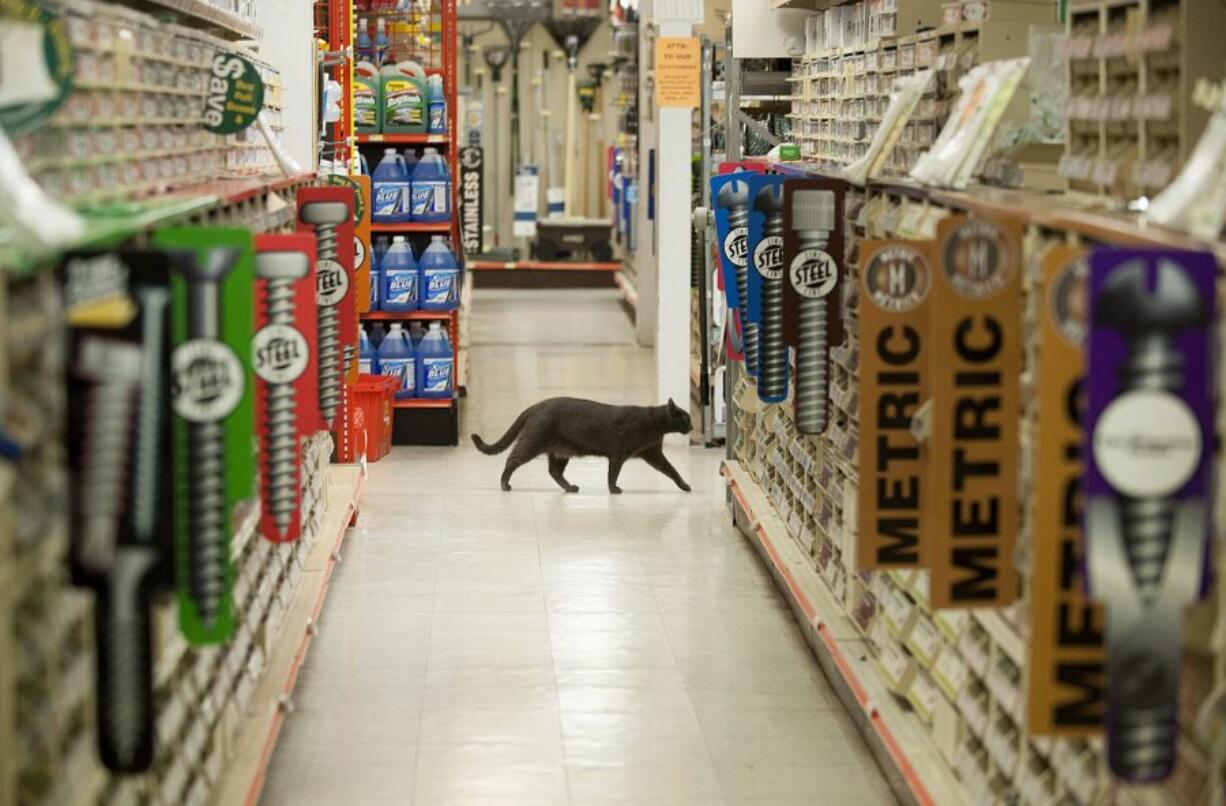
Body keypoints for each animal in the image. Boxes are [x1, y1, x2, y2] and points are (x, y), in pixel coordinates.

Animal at [470, 395, 696, 490]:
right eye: (686, 418)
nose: (693, 427)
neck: (654, 424)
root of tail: (535, 405)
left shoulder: (653, 454)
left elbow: (672, 470)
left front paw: (684, 485)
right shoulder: (618, 454)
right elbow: (613, 473)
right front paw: (613, 489)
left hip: (560, 451)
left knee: (554, 471)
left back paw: (570, 488)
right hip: (533, 442)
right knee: (512, 459)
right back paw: (504, 484)